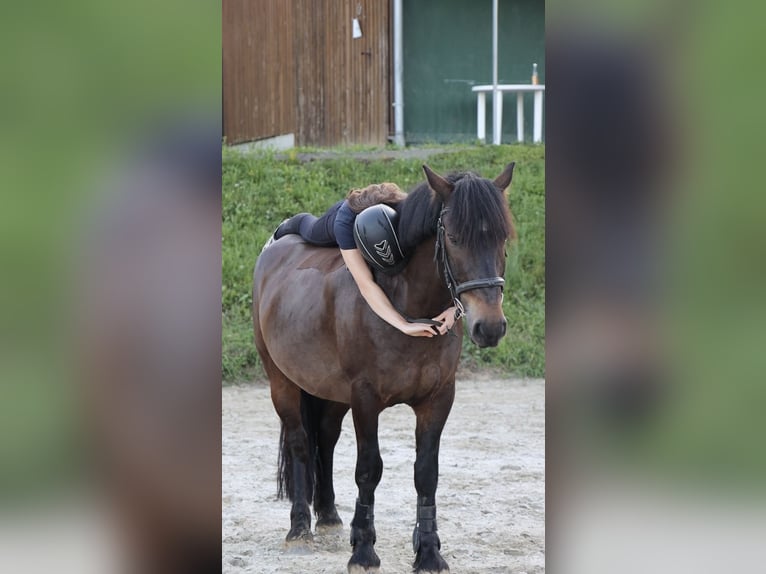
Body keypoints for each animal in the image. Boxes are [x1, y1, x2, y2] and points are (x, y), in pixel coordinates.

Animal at [252, 163, 516, 574]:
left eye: (503, 238)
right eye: (454, 238)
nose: (489, 327)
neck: (406, 301)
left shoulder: (439, 399)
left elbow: (426, 473)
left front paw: (428, 552)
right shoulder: (365, 399)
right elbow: (368, 469)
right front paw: (363, 550)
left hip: (330, 393)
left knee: (325, 439)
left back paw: (329, 516)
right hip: (282, 383)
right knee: (299, 442)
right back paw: (299, 529)